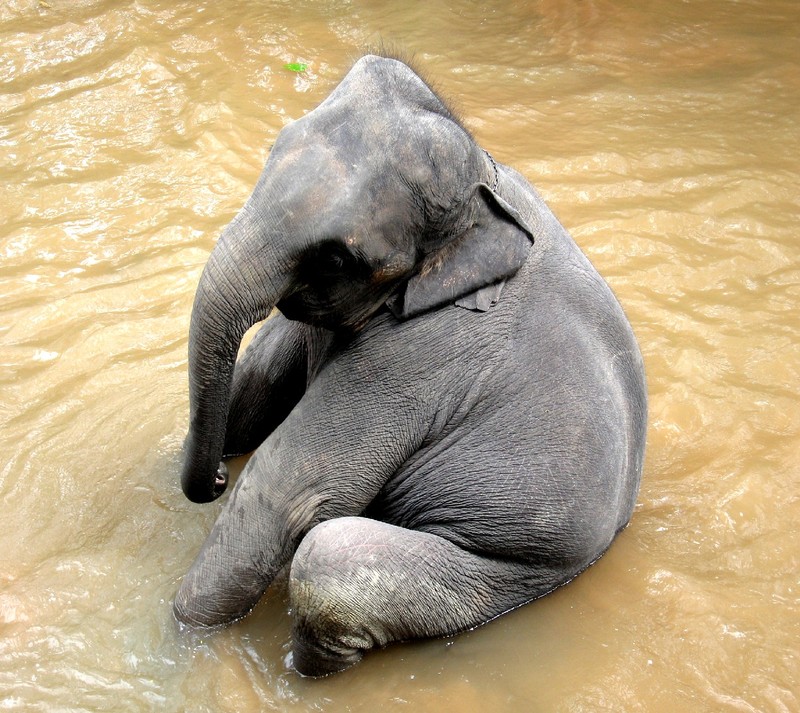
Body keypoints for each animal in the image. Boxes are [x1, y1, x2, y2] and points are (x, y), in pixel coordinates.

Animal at [172, 52, 648, 676]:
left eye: (335, 257)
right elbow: (256, 388)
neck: (484, 179)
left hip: (518, 569)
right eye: (276, 145)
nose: (217, 478)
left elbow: (283, 495)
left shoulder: (416, 358)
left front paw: (181, 639)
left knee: (329, 563)